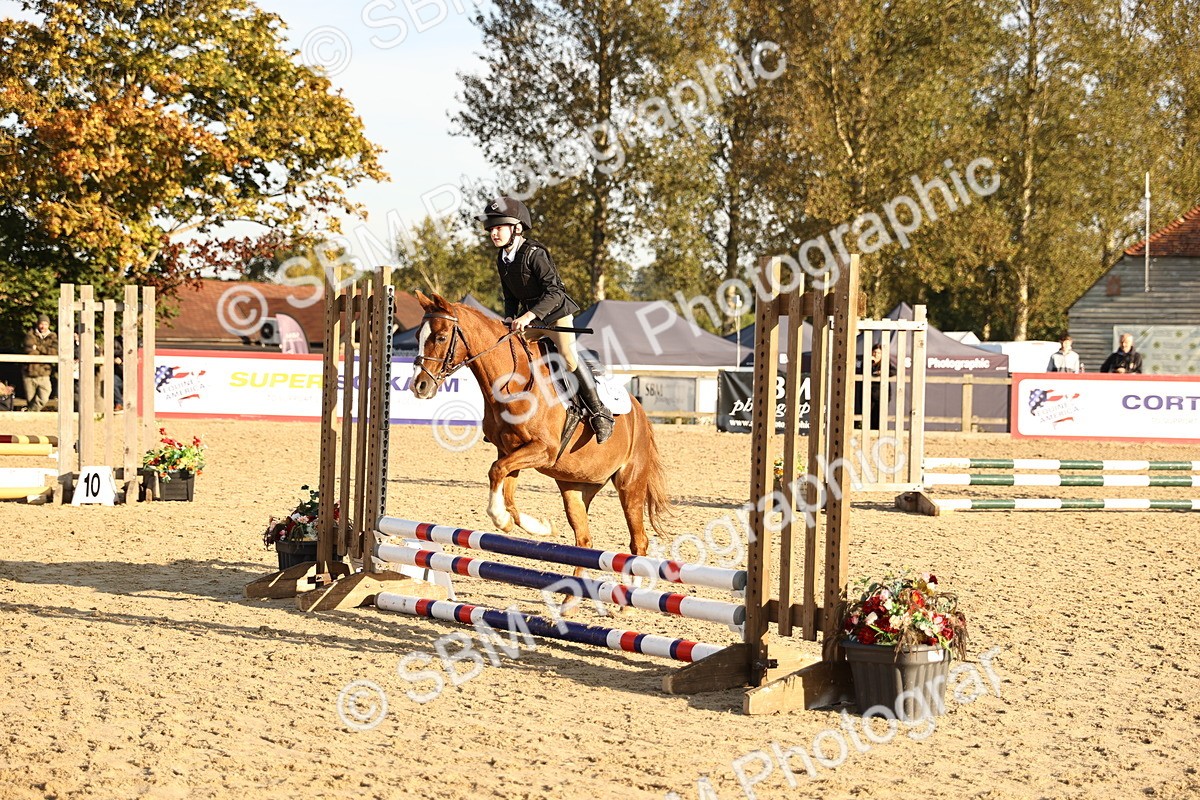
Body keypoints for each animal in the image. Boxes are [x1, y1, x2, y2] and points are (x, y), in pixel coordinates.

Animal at [409, 292, 671, 558]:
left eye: (441, 337)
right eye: (417, 336)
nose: (419, 386)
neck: (513, 383)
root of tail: (639, 412)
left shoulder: (544, 450)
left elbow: (496, 471)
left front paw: (502, 519)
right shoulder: (510, 451)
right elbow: (506, 488)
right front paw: (538, 526)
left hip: (630, 483)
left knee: (638, 541)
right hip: (576, 486)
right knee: (584, 541)